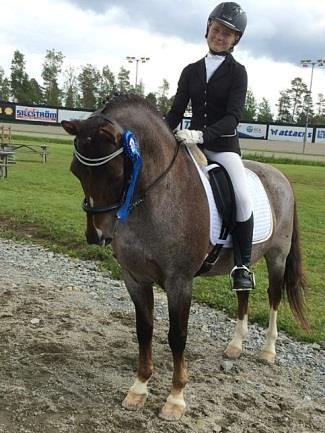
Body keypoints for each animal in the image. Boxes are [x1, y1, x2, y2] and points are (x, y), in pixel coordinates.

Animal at [61, 93, 306, 418]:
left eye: (115, 172)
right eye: (76, 171)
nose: (96, 235)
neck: (155, 196)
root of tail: (280, 176)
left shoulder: (179, 282)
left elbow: (177, 337)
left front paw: (175, 398)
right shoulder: (135, 278)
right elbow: (144, 330)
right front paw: (139, 388)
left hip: (277, 255)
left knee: (274, 296)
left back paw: (268, 351)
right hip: (244, 259)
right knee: (243, 292)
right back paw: (235, 346)